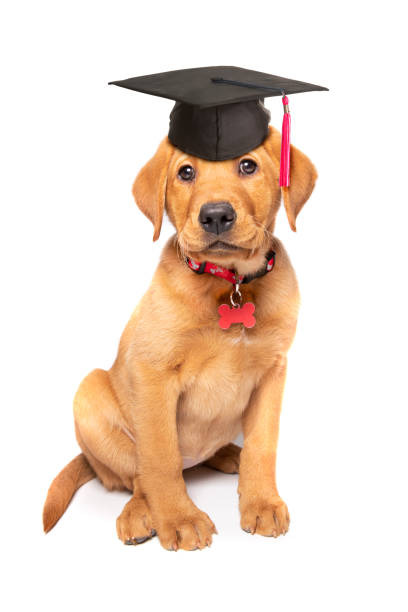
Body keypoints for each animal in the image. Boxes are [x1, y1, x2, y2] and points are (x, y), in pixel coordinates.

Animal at [43, 124, 318, 548]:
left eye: (248, 165)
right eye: (185, 172)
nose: (216, 215)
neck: (230, 284)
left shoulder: (273, 372)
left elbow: (262, 445)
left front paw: (261, 503)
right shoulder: (154, 373)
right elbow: (161, 457)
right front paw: (178, 517)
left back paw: (228, 455)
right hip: (89, 394)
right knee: (138, 477)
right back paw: (139, 514)